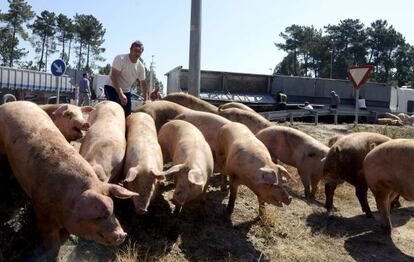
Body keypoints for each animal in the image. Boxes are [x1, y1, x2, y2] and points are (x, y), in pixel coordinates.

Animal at [0, 102, 137, 256]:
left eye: (113, 210)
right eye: (98, 216)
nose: (123, 234)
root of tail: (12, 103)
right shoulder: (41, 209)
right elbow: (51, 242)